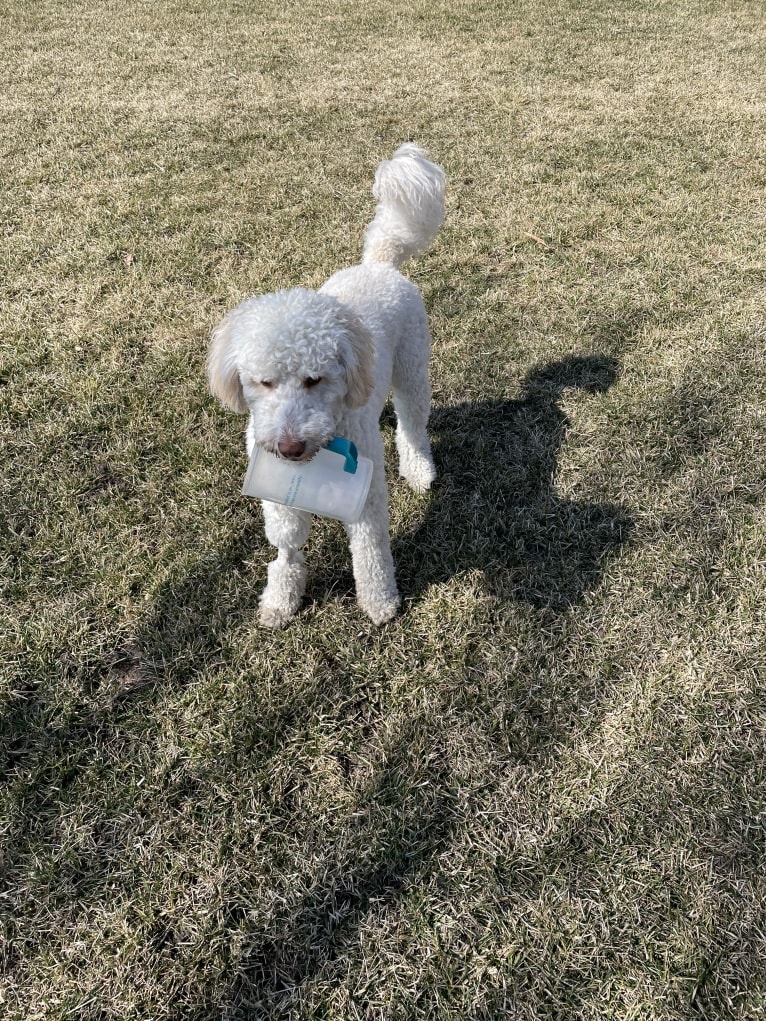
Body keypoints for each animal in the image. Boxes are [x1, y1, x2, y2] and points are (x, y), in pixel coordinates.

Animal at [210, 142, 447, 620]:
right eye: (263, 382)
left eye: (315, 379)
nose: (289, 447)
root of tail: (378, 263)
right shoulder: (276, 493)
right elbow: (286, 544)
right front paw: (281, 597)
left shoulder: (367, 496)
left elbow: (371, 549)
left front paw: (380, 603)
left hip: (413, 370)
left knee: (413, 426)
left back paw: (419, 470)